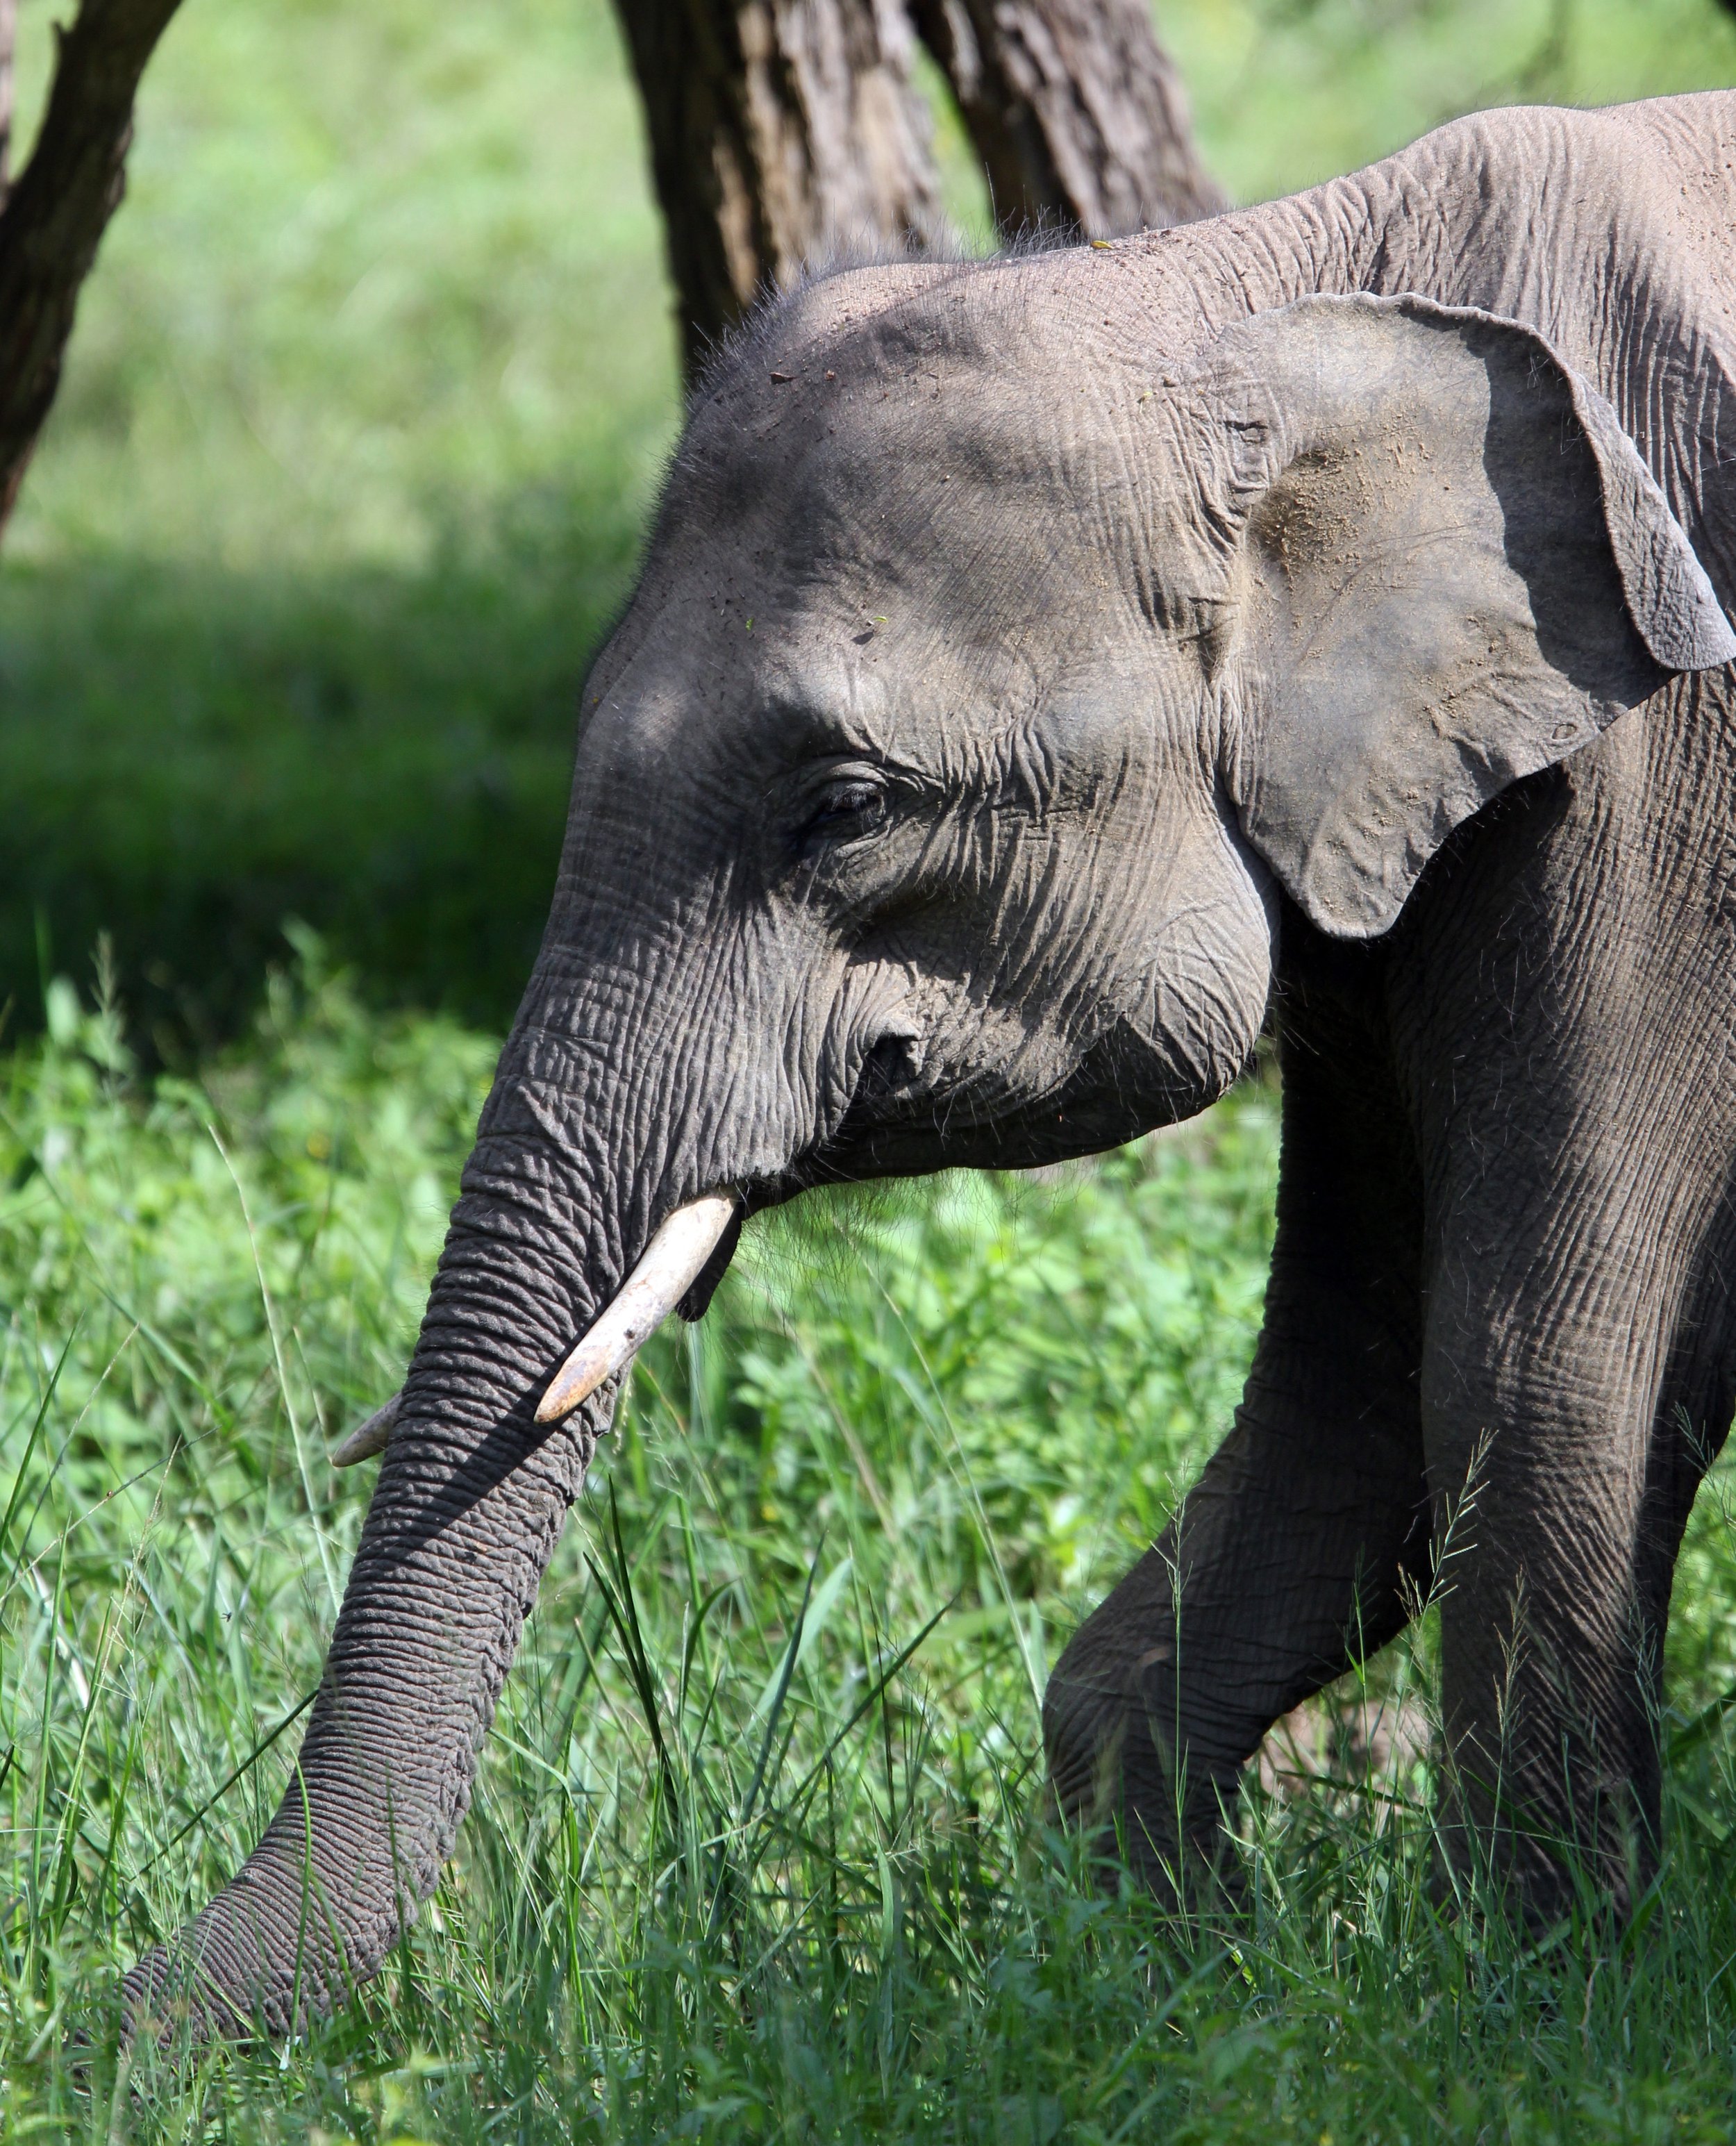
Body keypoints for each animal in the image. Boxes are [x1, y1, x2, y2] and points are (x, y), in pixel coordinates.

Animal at [125, 87, 1736, 2032]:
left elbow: (1529, 1364)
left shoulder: (1658, 787)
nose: (96, 2024)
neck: (1257, 296)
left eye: (844, 809)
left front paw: (1514, 2004)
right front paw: (1191, 1981)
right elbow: (1351, 1390)